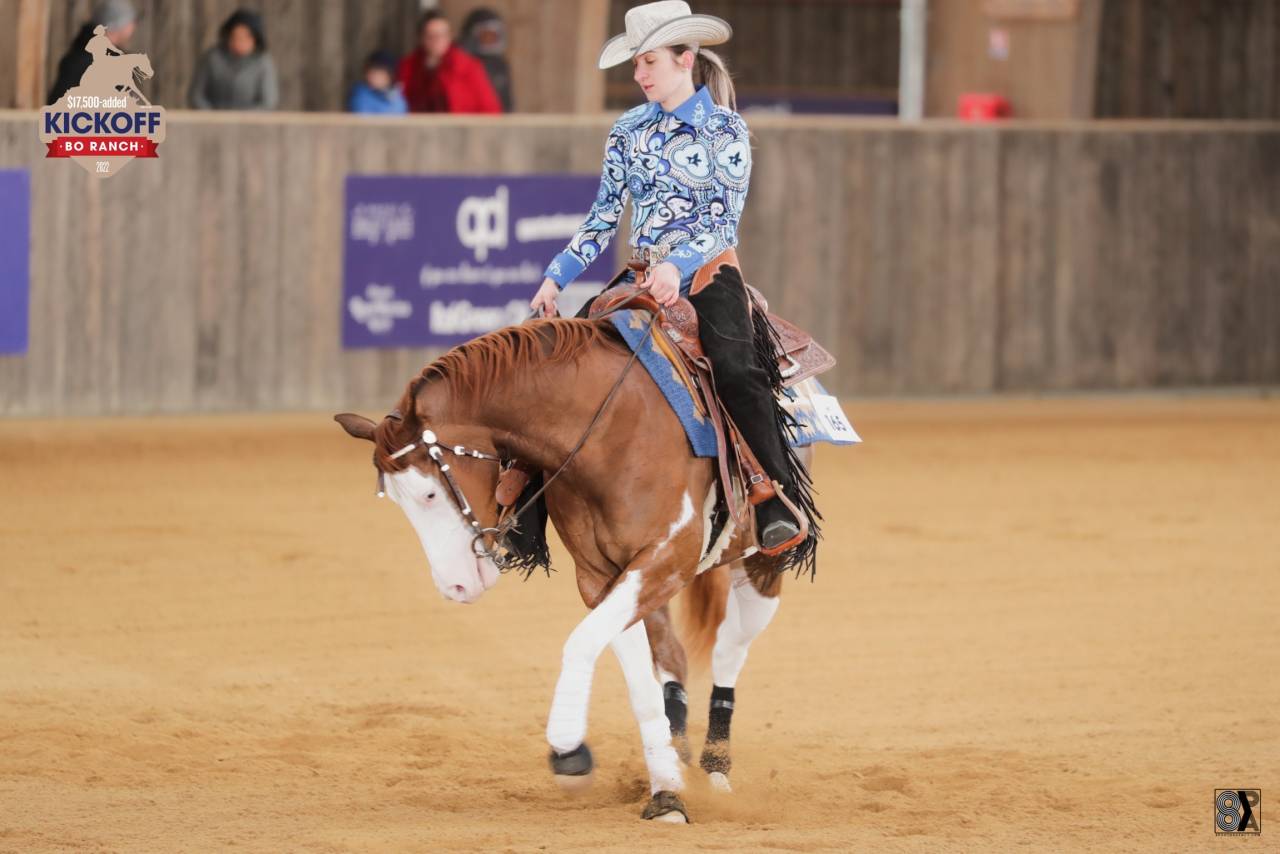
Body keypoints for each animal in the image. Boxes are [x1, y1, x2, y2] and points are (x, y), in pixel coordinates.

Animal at [335, 314, 814, 823]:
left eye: (428, 493)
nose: (456, 586)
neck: (607, 431)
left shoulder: (669, 556)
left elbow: (582, 641)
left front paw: (568, 748)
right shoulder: (600, 575)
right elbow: (636, 678)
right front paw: (666, 791)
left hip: (763, 565)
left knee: (729, 648)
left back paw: (716, 767)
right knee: (673, 656)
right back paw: (681, 753)